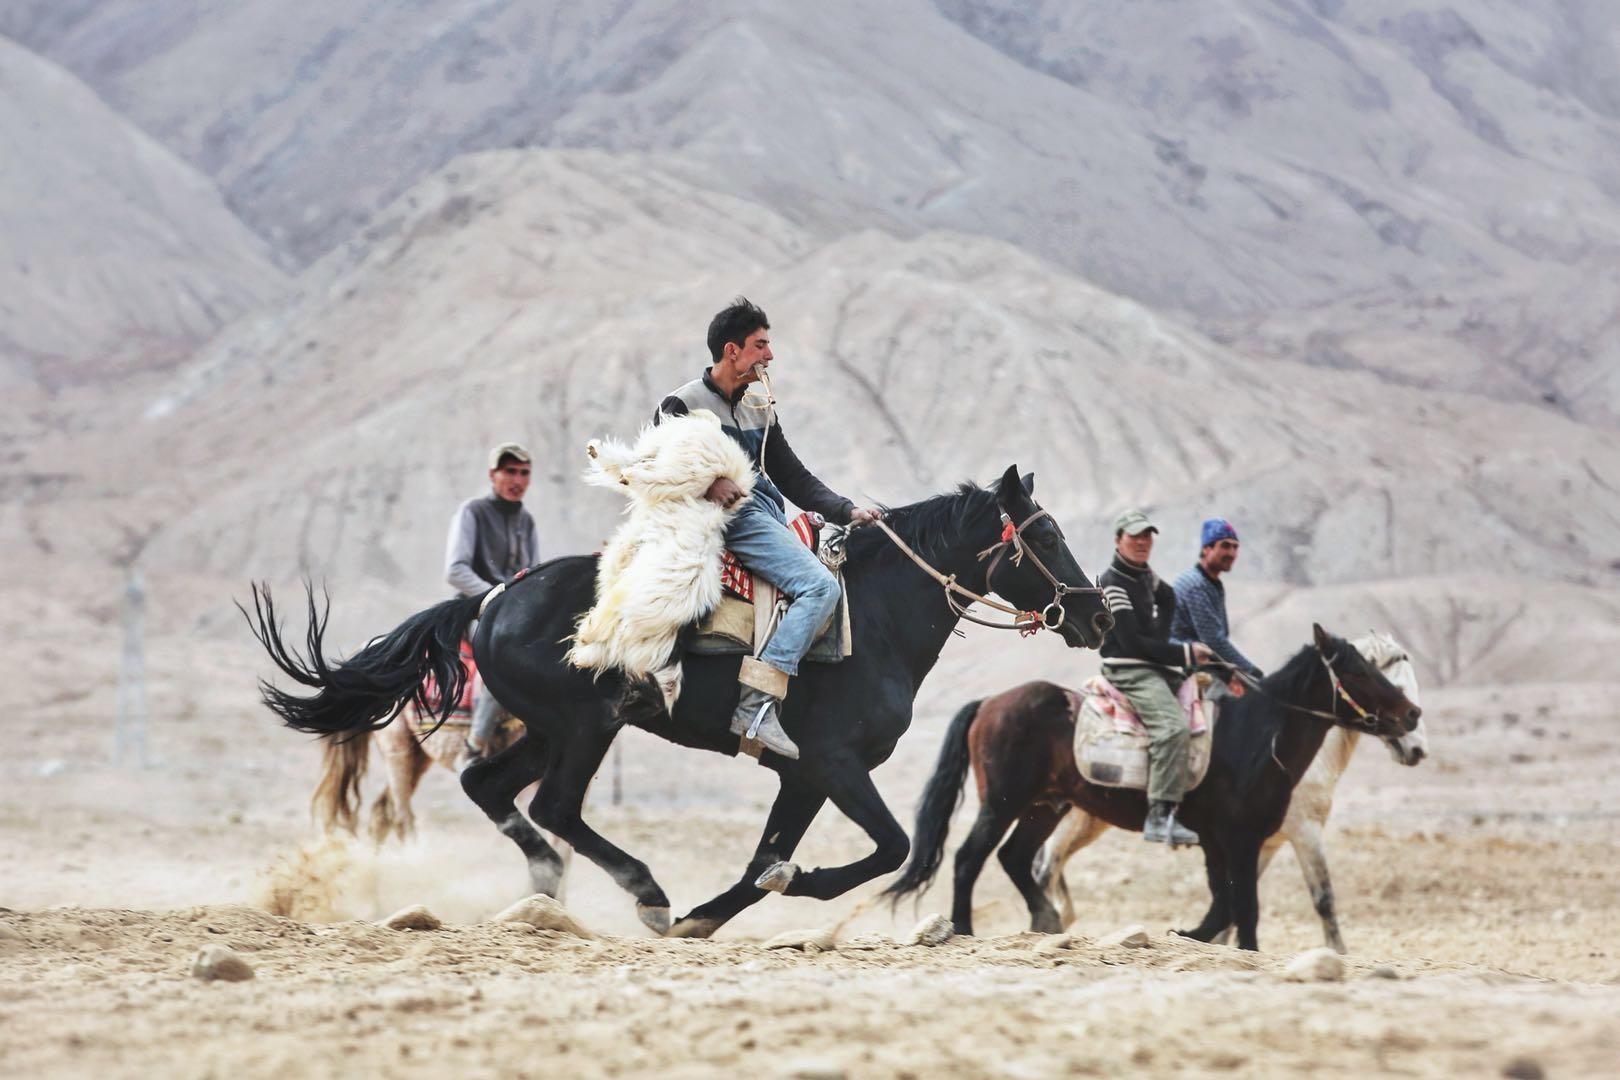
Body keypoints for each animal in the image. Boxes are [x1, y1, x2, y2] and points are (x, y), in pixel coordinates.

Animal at [249, 466, 1114, 939]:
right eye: (1047, 537)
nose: (1099, 615)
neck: (872, 616)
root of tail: (494, 599)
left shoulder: (801, 776)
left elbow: (767, 858)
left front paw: (717, 911)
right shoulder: (835, 765)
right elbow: (888, 848)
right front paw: (783, 887)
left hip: (550, 730)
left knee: (492, 788)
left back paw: (551, 891)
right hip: (585, 726)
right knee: (555, 806)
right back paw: (646, 894)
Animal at [887, 621, 1419, 952]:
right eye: (1359, 669)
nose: (1412, 716)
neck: (1257, 736)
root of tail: (989, 702)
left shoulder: (1225, 841)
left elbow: (1225, 900)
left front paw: (1192, 933)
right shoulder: (1242, 838)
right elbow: (1244, 905)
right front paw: (1236, 945)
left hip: (1046, 806)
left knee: (1015, 858)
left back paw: (1046, 922)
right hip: (1003, 803)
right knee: (969, 858)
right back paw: (965, 929)